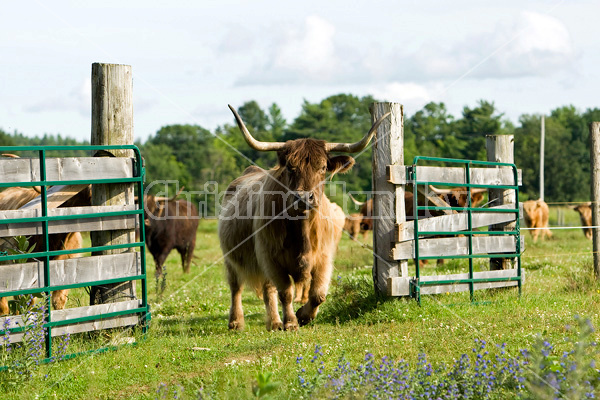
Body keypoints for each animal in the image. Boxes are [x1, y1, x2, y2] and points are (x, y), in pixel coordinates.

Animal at [218, 104, 392, 330]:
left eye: (323, 167)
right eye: (291, 167)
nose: (303, 197)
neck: (302, 231)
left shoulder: (324, 257)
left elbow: (318, 294)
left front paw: (304, 315)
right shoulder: (271, 258)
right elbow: (286, 292)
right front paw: (291, 322)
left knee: (267, 289)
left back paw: (274, 322)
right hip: (231, 257)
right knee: (236, 286)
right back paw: (237, 321)